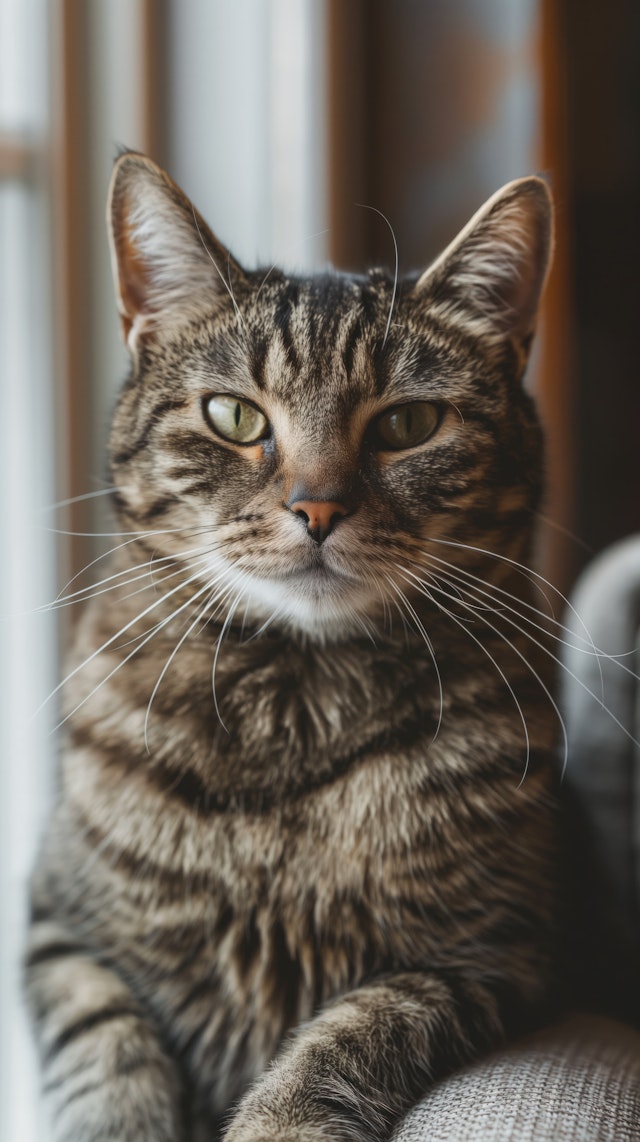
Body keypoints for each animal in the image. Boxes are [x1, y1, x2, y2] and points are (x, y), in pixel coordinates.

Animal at [26, 154, 555, 1142]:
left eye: (408, 425)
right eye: (234, 416)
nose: (317, 507)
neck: (294, 709)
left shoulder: (493, 956)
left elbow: (350, 1034)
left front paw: (279, 1119)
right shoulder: (62, 934)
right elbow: (107, 1048)